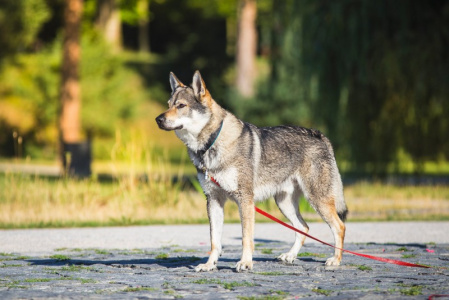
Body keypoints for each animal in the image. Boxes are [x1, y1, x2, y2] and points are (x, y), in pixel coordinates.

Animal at [156, 70, 348, 272]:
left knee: (339, 226)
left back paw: (335, 260)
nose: (158, 119)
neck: (211, 145)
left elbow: (246, 238)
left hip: (317, 200)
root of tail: (320, 135)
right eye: (168, 105)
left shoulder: (245, 200)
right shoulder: (213, 200)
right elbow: (214, 241)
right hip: (284, 203)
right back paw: (290, 256)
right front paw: (209, 265)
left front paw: (245, 263)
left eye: (181, 105)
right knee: (304, 228)